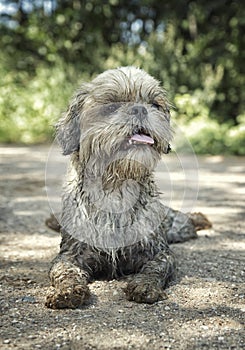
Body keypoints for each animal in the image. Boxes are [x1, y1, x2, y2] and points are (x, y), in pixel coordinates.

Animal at [44, 66, 211, 308]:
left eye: (154, 105)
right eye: (112, 105)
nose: (140, 109)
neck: (116, 187)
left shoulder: (159, 253)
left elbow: (155, 269)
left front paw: (145, 286)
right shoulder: (70, 254)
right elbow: (63, 271)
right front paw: (67, 291)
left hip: (179, 228)